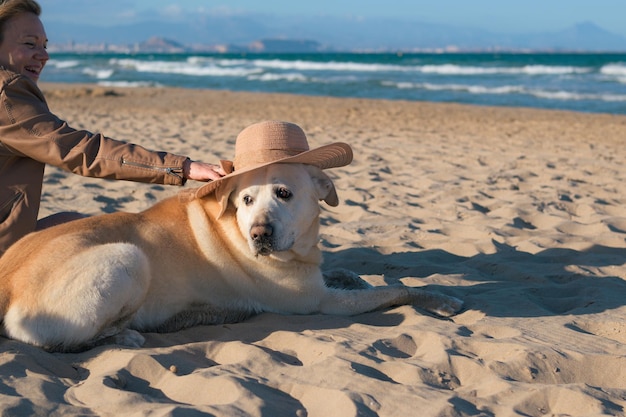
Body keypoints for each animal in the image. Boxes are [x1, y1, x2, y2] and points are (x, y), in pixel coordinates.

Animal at [0, 121, 458, 352]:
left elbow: (353, 274)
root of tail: (5, 280)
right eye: (246, 200)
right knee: (61, 342)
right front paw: (441, 299)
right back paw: (129, 333)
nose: (259, 234)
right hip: (127, 257)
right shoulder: (319, 302)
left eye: (284, 194)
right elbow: (395, 291)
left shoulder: (319, 276)